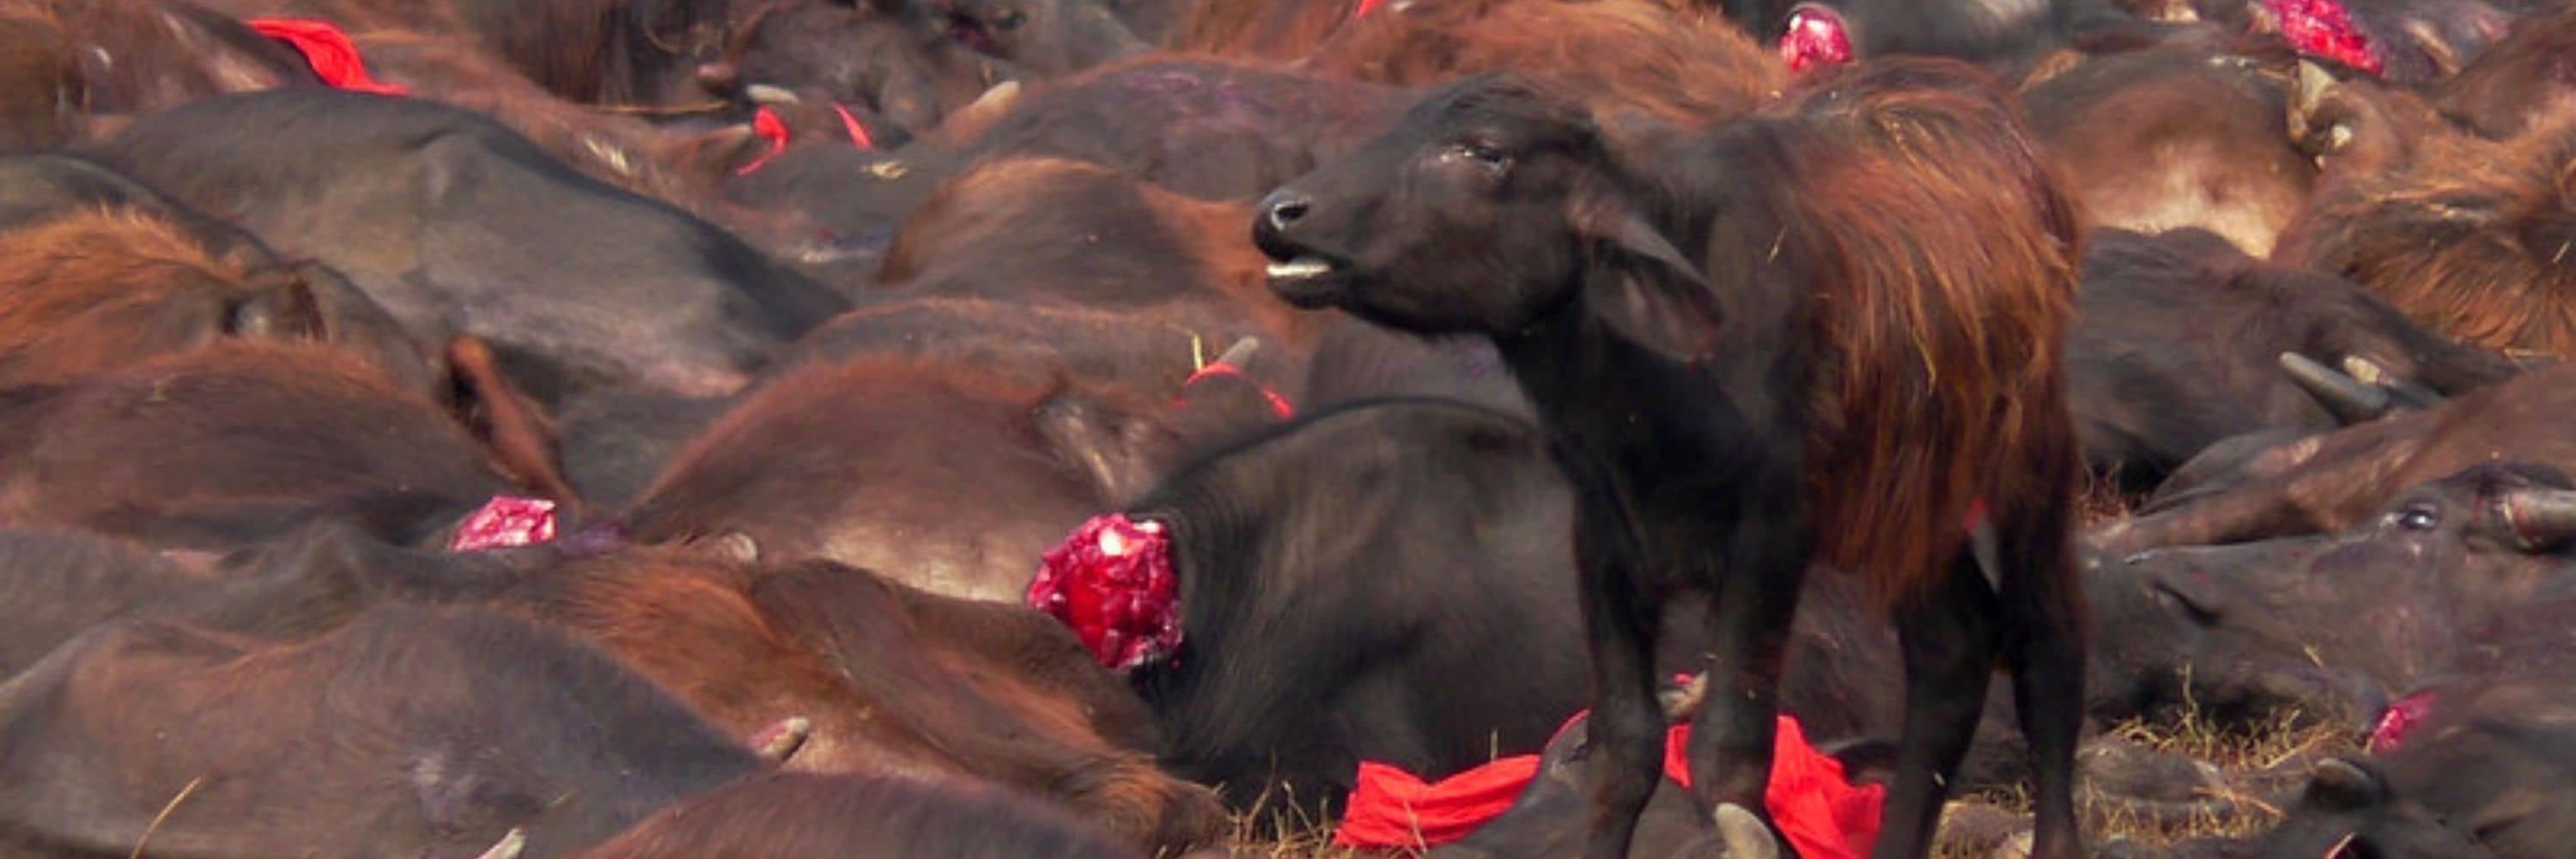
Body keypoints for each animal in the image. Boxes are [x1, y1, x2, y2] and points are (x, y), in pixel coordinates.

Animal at [1252, 62, 2092, 856]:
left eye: (1487, 151)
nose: (1280, 214)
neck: (1647, 396)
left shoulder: (1771, 536)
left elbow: (1729, 751)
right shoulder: (1605, 535)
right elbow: (1623, 745)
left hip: (2031, 457)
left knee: (2045, 645)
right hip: (1904, 506)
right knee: (1952, 646)